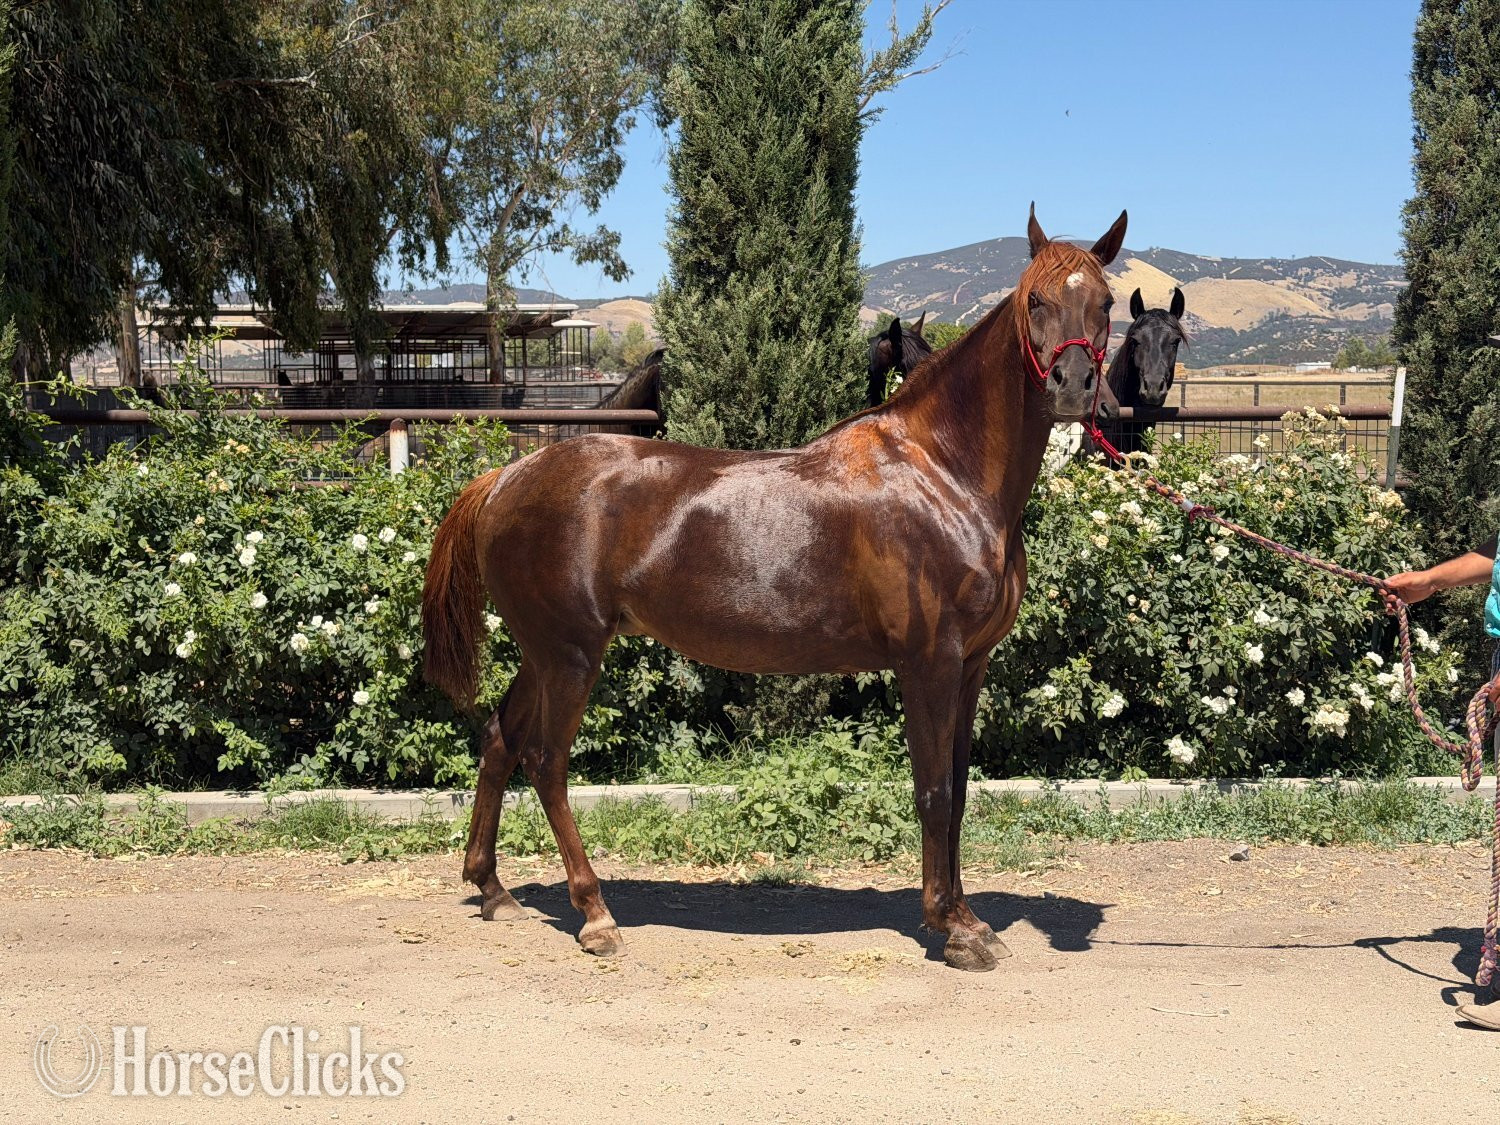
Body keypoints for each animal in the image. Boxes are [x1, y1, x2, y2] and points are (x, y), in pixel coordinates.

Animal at [422, 205, 1127, 972]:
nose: (1073, 387)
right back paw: (595, 914)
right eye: (1037, 300)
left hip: (543, 653)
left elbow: (962, 792)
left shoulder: (971, 665)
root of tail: (508, 478)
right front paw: (954, 927)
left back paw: (493, 889)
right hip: (571, 656)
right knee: (547, 763)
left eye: (1106, 302)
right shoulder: (928, 662)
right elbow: (934, 791)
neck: (944, 472)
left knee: (499, 740)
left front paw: (964, 914)